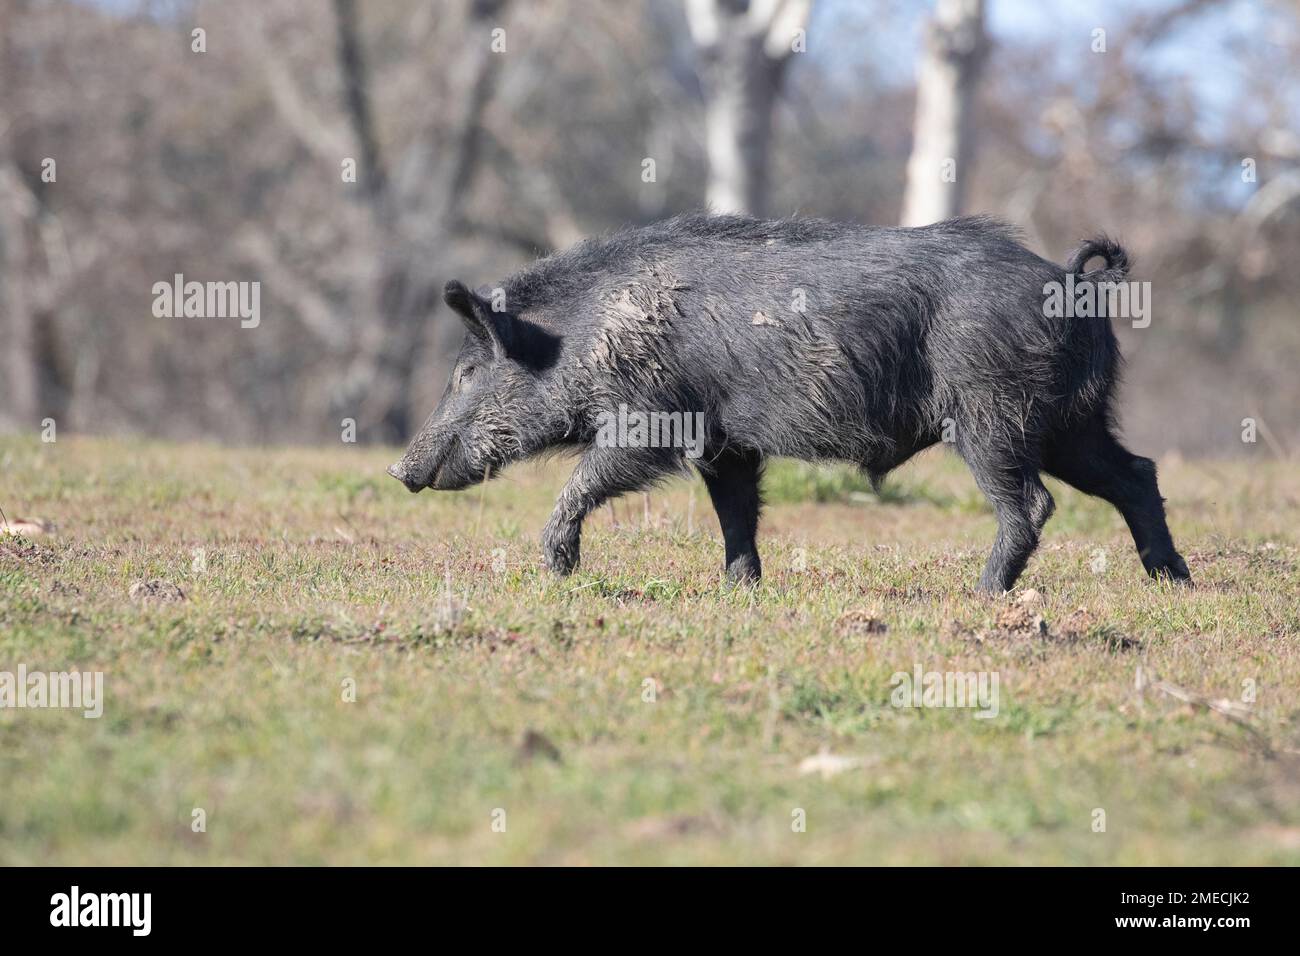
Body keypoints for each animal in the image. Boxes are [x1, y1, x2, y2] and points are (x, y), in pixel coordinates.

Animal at [387, 213, 1191, 593]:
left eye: (465, 374)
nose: (401, 471)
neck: (584, 334)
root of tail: (1076, 280)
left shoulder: (652, 418)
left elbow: (588, 478)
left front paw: (557, 570)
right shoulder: (726, 441)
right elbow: (736, 510)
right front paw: (740, 586)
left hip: (994, 414)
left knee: (1032, 503)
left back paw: (982, 593)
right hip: (1073, 422)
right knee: (1137, 474)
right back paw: (1172, 583)